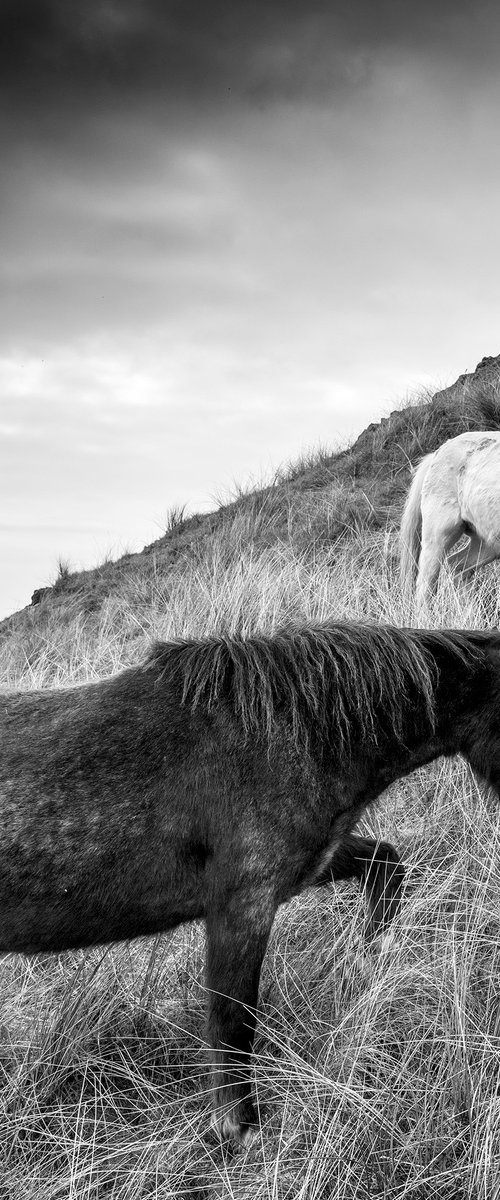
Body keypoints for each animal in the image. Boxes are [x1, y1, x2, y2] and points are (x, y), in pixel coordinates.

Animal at [0, 624, 498, 1147]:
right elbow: (233, 1019)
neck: (286, 733)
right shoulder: (243, 902)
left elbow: (386, 864)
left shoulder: (307, 864)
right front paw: (239, 1129)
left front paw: (368, 959)